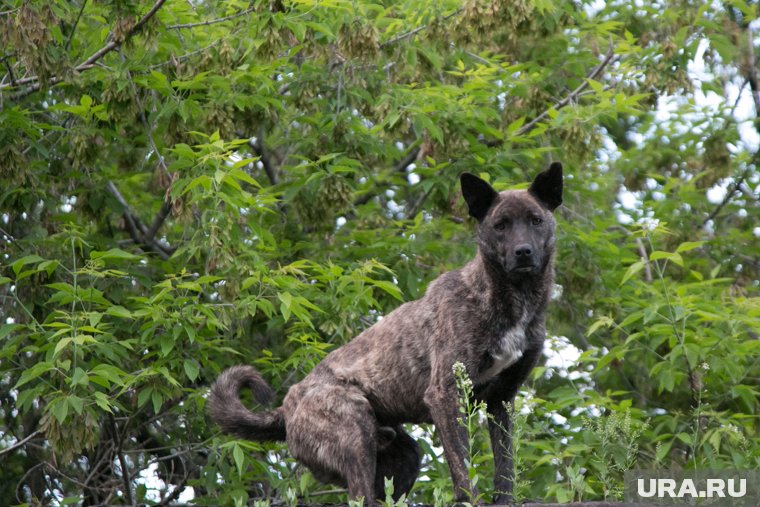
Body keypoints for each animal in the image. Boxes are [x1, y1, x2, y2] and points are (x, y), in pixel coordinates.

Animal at [205, 164, 560, 504]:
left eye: (536, 220)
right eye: (500, 225)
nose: (523, 252)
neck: (510, 300)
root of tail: (286, 408)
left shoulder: (501, 401)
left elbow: (506, 466)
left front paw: (506, 499)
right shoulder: (445, 394)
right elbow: (463, 467)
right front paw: (469, 499)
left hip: (404, 458)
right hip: (355, 434)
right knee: (359, 497)